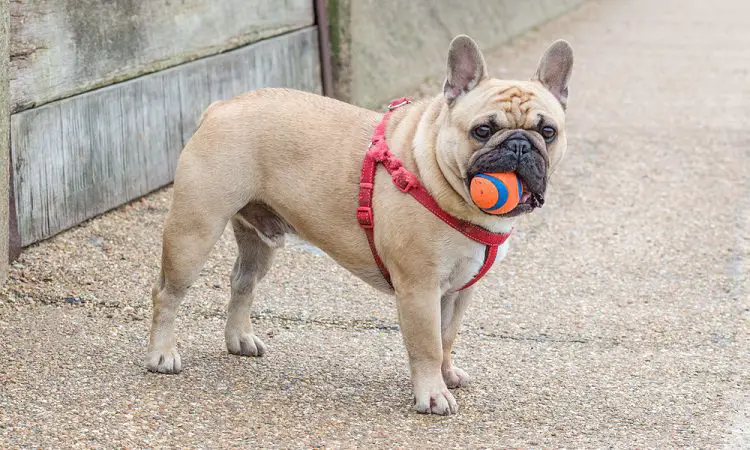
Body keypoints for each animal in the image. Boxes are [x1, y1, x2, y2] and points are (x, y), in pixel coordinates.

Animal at [145, 34, 576, 414]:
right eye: (482, 131)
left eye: (548, 132)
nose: (519, 145)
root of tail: (220, 106)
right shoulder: (419, 288)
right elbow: (427, 344)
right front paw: (432, 395)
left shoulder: (458, 291)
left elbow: (447, 336)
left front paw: (447, 374)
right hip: (194, 233)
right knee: (167, 294)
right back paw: (162, 354)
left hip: (259, 240)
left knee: (242, 283)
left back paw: (239, 339)